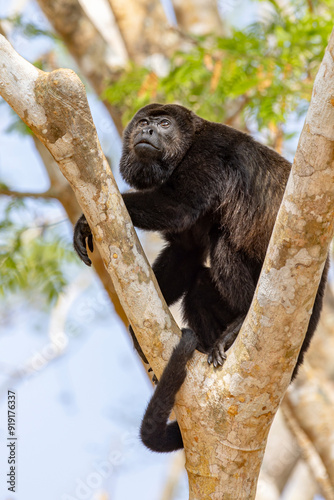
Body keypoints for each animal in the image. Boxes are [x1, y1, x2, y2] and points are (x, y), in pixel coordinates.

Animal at [73, 102, 328, 454]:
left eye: (164, 124)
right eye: (144, 121)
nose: (146, 130)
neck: (186, 144)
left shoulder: (206, 156)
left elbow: (178, 207)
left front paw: (83, 221)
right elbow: (187, 250)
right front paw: (137, 335)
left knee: (223, 243)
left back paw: (239, 323)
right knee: (199, 286)